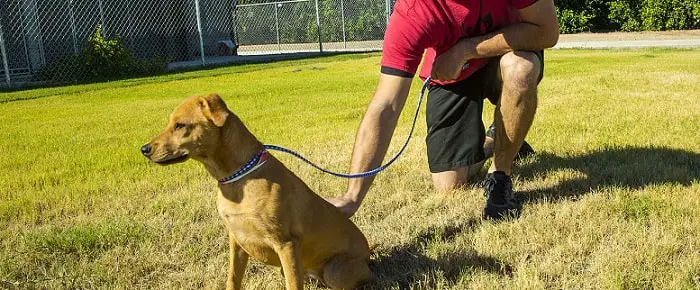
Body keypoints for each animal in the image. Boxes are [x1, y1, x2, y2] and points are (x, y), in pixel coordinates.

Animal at [139, 94, 374, 288]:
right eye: (169, 123)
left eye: (180, 125)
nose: (144, 149)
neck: (238, 179)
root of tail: (368, 254)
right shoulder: (236, 241)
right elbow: (233, 279)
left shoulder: (286, 244)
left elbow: (292, 285)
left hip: (335, 272)